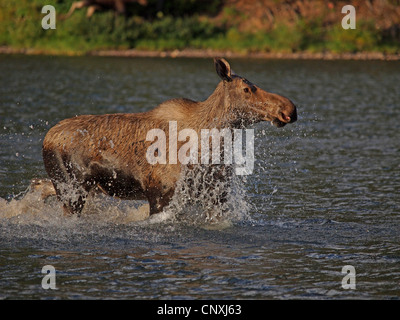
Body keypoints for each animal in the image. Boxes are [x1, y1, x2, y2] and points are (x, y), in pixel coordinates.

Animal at [43, 58, 296, 218]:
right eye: (246, 89)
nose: (289, 109)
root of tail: (46, 139)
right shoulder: (160, 195)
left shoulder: (217, 196)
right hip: (71, 188)